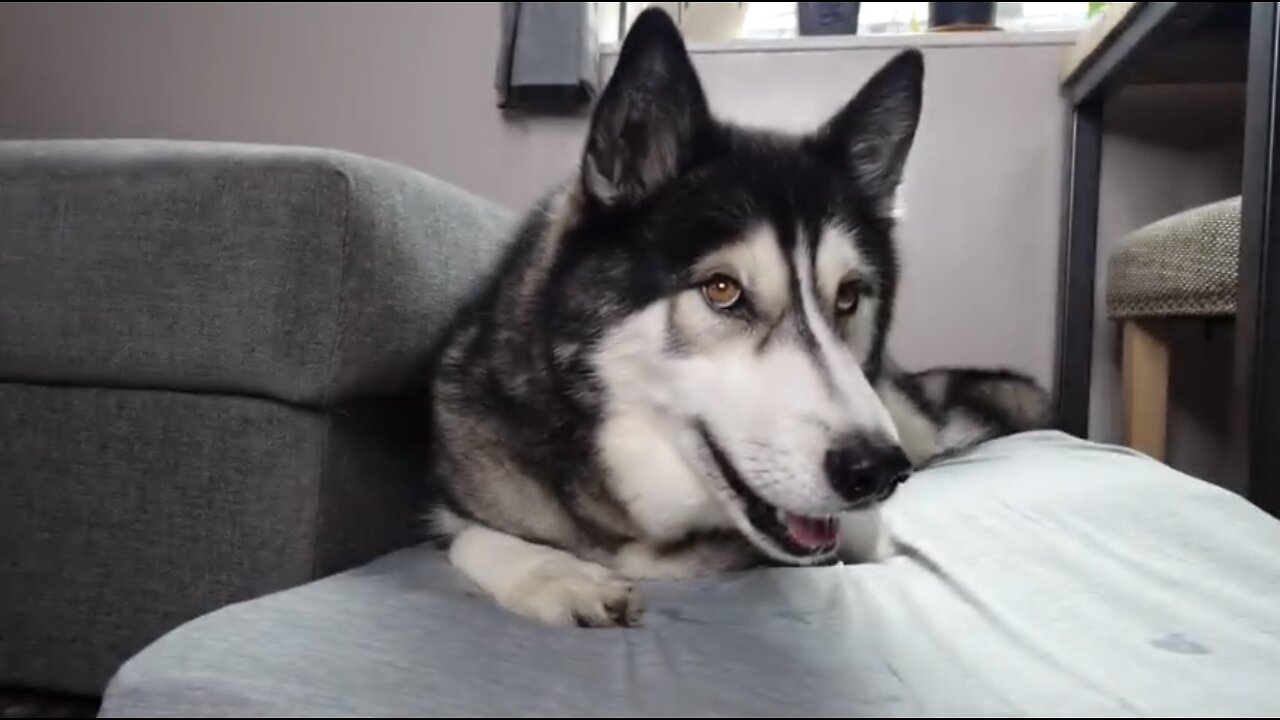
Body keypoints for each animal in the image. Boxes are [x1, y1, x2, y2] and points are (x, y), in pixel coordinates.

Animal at [430, 8, 1049, 625]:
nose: (876, 471)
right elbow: (467, 533)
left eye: (848, 296)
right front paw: (553, 574)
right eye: (722, 290)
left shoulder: (865, 525)